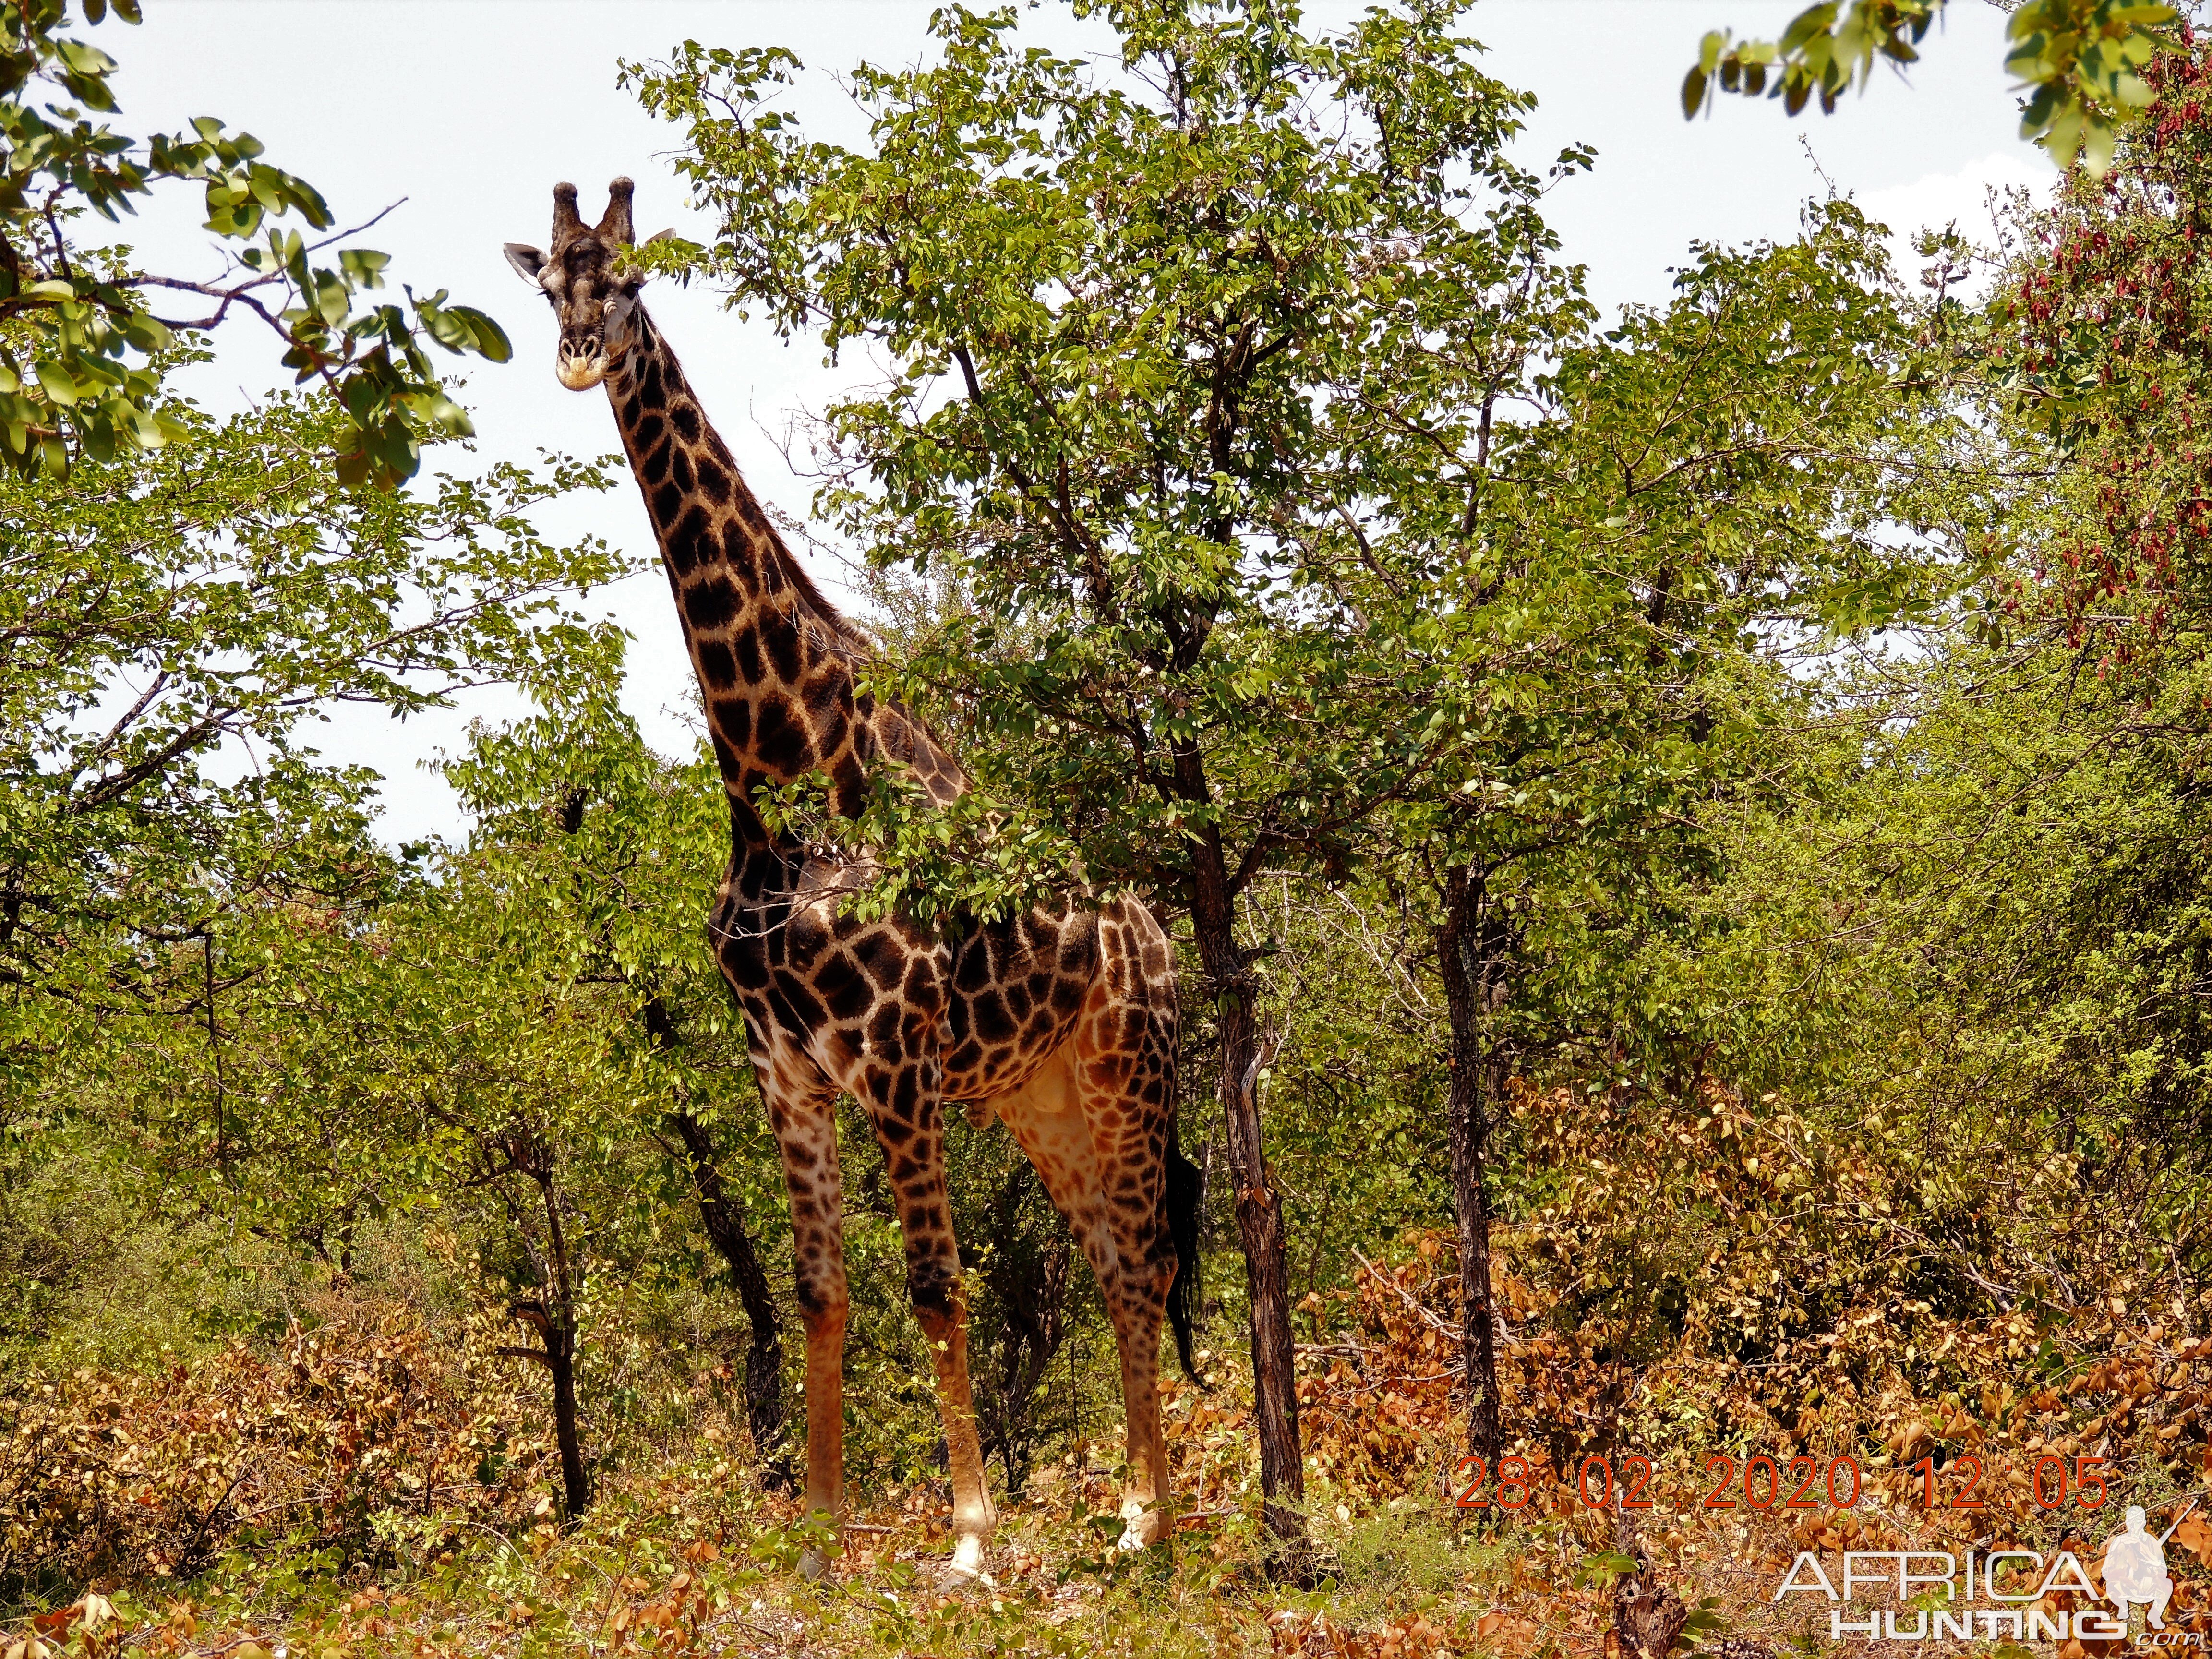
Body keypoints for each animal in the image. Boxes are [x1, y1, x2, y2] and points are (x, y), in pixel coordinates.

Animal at [504, 181, 1203, 1584]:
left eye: (630, 283)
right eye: (548, 283)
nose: (578, 356)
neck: (778, 762)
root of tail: (1158, 937)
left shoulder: (893, 1050)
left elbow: (935, 1286)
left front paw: (971, 1543)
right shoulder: (781, 1060)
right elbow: (819, 1290)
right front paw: (822, 1541)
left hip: (1126, 1072)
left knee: (1147, 1258)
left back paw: (1150, 1526)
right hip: (1040, 1098)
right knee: (1110, 1259)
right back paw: (1132, 1514)